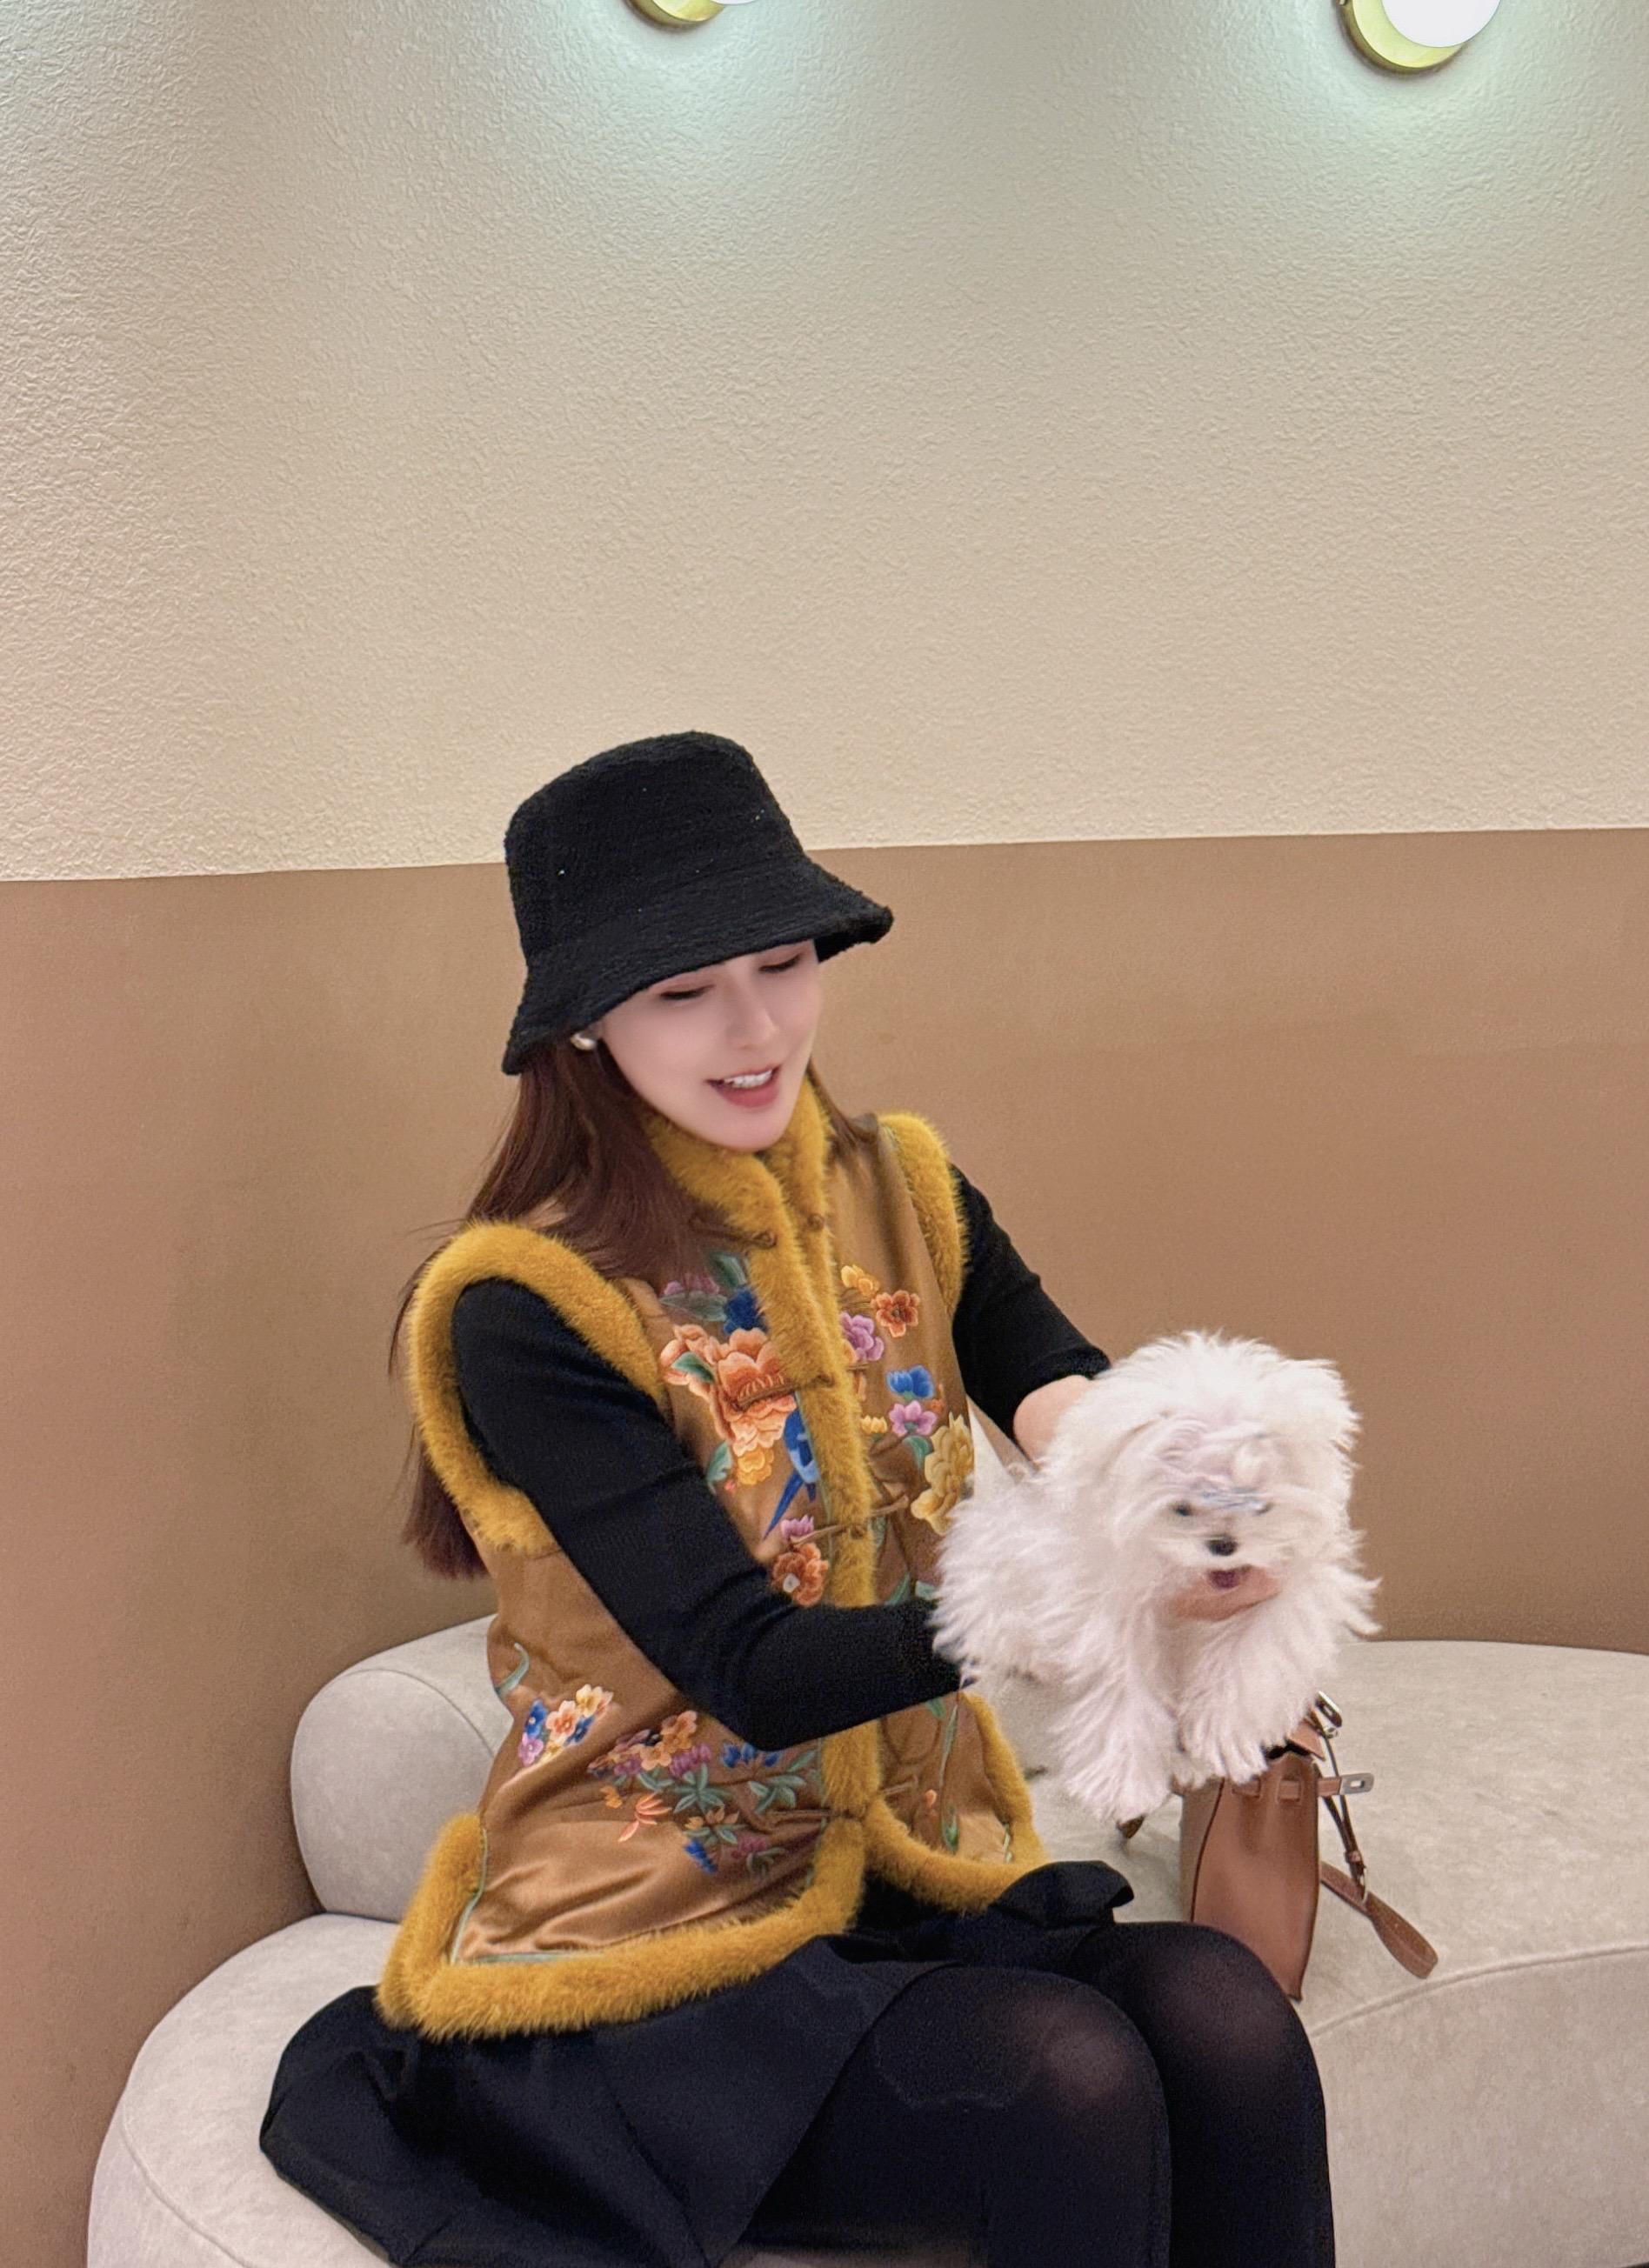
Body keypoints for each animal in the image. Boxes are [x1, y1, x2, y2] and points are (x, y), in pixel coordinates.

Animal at [930, 1329, 1383, 1826]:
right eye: (1181, 1508)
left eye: (1259, 1504)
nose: (1223, 1544)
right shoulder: (1106, 1613)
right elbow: (1123, 1695)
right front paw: (1123, 1787)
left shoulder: (1283, 1603)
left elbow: (1247, 1665)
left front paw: (1221, 1739)